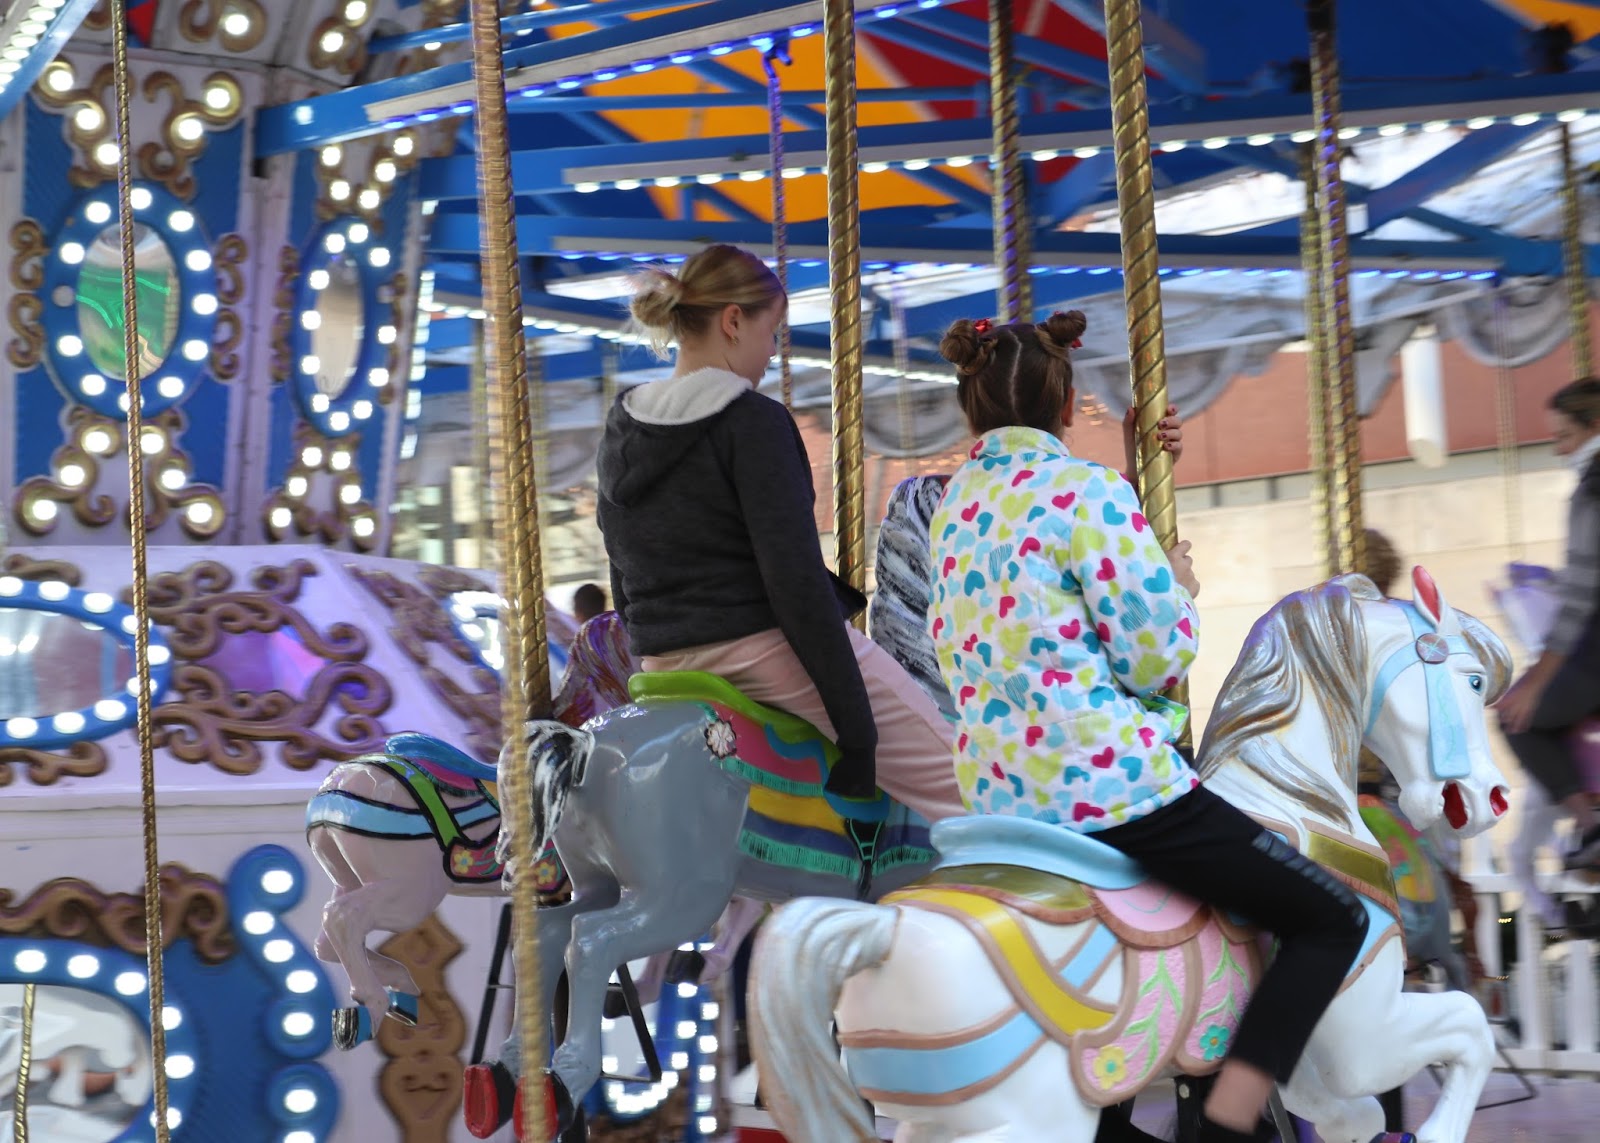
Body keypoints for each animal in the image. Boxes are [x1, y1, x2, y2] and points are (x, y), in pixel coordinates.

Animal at [748, 570, 1513, 1143]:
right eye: (1474, 682)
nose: (1493, 796)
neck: (1299, 801)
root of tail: (886, 929)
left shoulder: (1306, 1059)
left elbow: (1345, 1111)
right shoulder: (1356, 1029)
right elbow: (1467, 1028)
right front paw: (1435, 1132)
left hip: (933, 1116)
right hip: (1026, 1119)